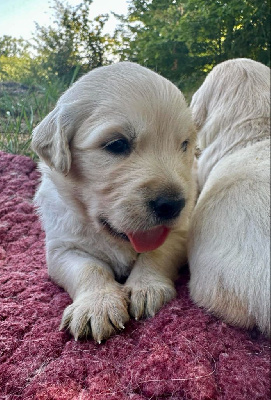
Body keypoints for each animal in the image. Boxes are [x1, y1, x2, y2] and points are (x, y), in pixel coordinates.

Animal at [32, 61, 198, 342]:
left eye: (184, 144)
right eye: (116, 144)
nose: (173, 204)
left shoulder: (180, 231)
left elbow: (157, 251)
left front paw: (146, 287)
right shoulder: (61, 248)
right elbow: (89, 268)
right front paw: (97, 304)